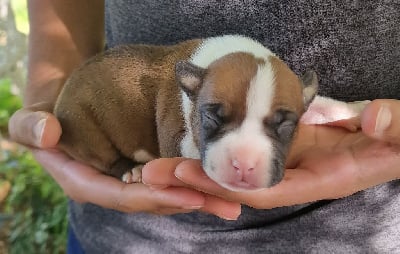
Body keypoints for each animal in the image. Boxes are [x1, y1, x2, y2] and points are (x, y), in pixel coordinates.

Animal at [54, 34, 368, 191]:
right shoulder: (175, 138)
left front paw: (356, 110)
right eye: (212, 118)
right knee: (103, 156)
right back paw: (130, 169)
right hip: (82, 125)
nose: (244, 164)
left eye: (286, 127)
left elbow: (321, 103)